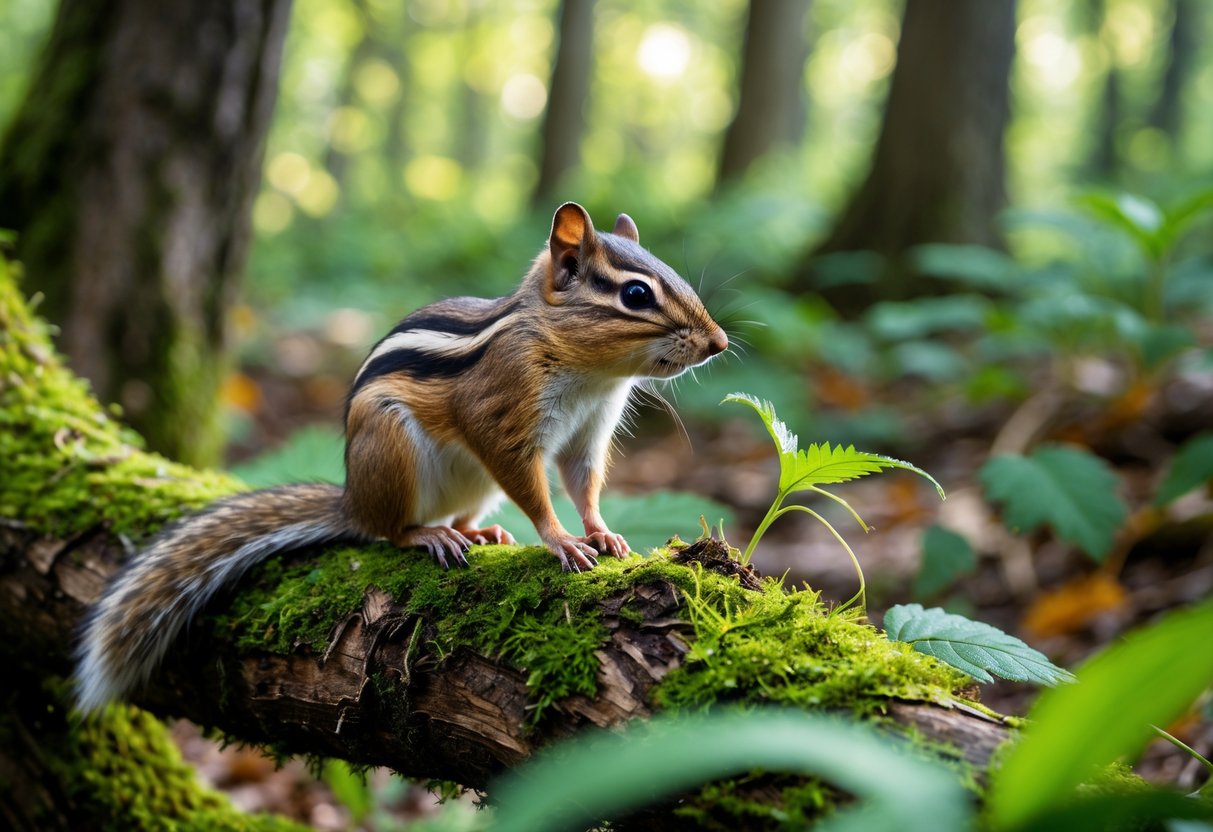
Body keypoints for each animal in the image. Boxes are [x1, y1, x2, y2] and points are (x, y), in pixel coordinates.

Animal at [73, 202, 728, 713]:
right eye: (636, 293)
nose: (719, 343)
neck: (589, 371)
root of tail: (350, 500)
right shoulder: (500, 419)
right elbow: (533, 486)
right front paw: (561, 540)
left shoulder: (588, 432)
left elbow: (584, 483)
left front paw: (603, 532)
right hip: (391, 449)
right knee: (388, 531)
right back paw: (427, 535)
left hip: (472, 484)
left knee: (460, 513)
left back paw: (481, 532)